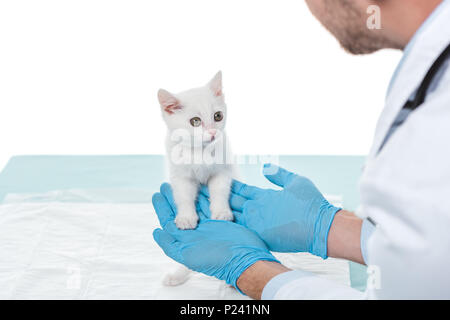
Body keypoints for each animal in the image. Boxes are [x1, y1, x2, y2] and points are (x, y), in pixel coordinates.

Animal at [158, 71, 236, 286]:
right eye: (195, 121)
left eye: (218, 116)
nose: (213, 132)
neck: (200, 153)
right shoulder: (180, 176)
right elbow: (184, 196)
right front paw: (186, 217)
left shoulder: (223, 170)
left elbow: (219, 191)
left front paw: (221, 212)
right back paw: (177, 275)